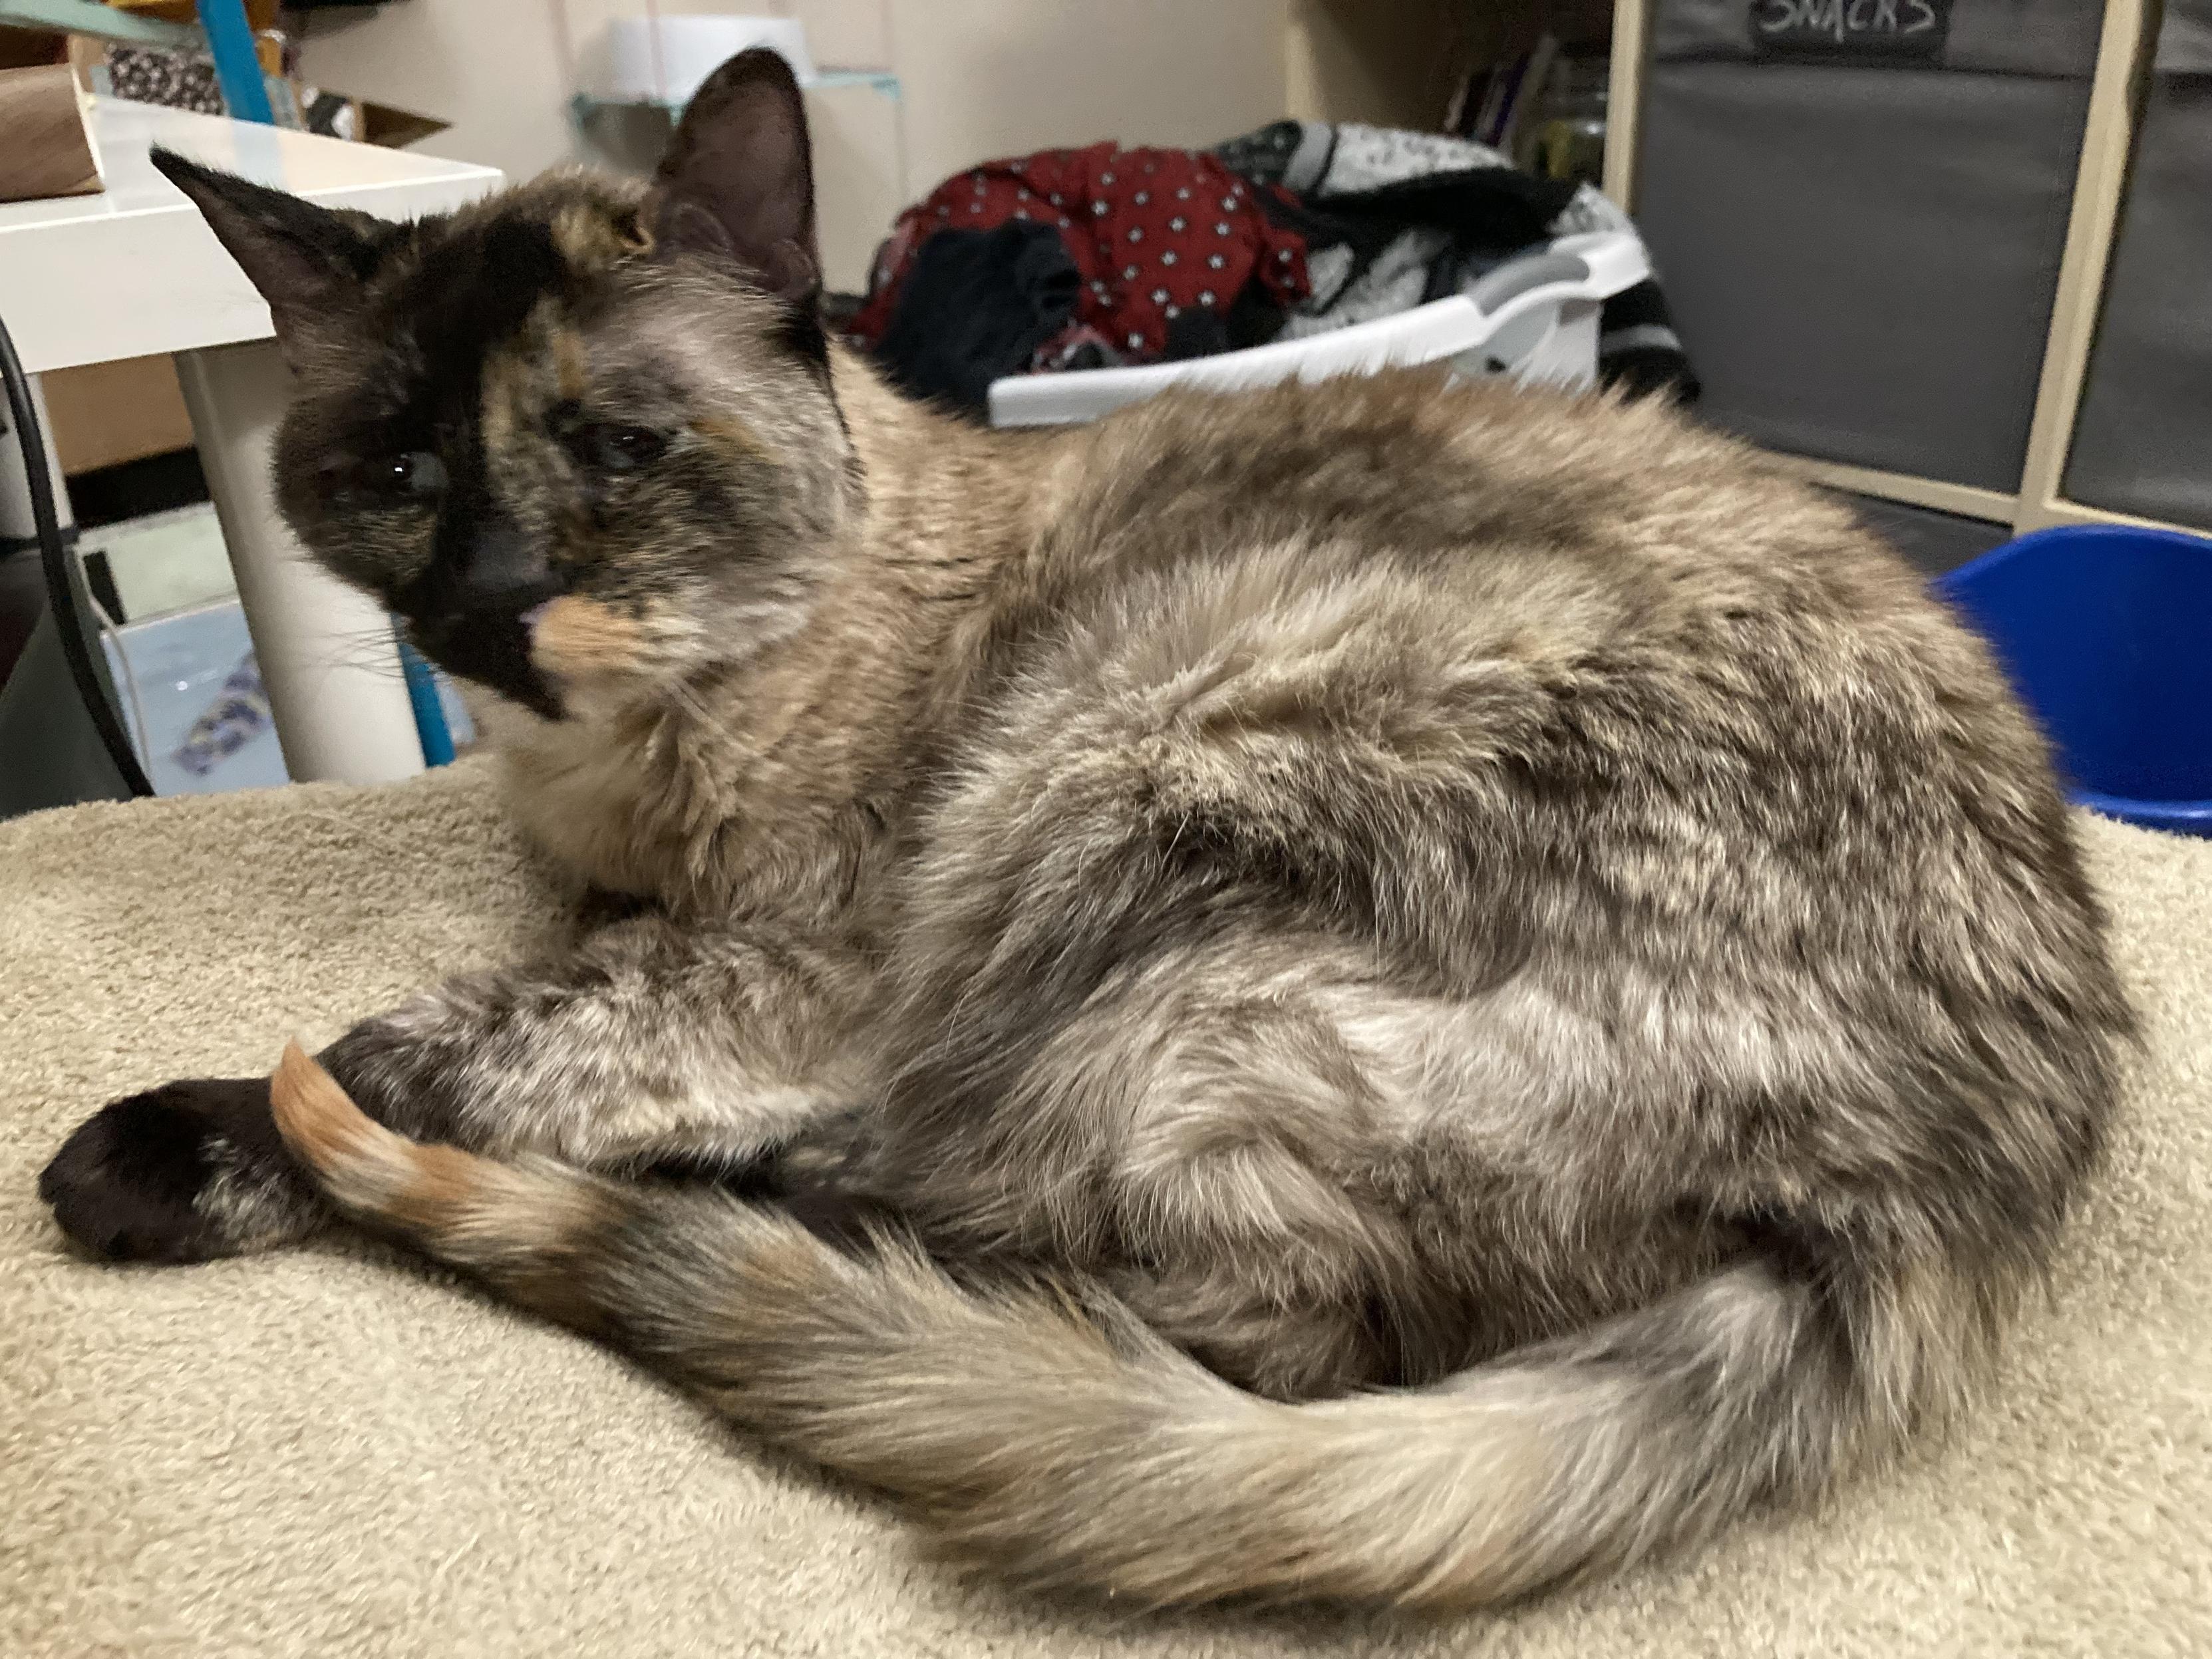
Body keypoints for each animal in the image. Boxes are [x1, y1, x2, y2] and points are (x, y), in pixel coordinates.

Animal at [43, 49, 2132, 1610]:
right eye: (397, 470)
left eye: (620, 452)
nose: (484, 606)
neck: (614, 768)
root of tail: (1958, 1204)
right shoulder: (635, 911)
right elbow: (537, 981)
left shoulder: (791, 962)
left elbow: (427, 1048)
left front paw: (158, 1155)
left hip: (1106, 804)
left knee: (1240, 1322)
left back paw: (761, 1203)